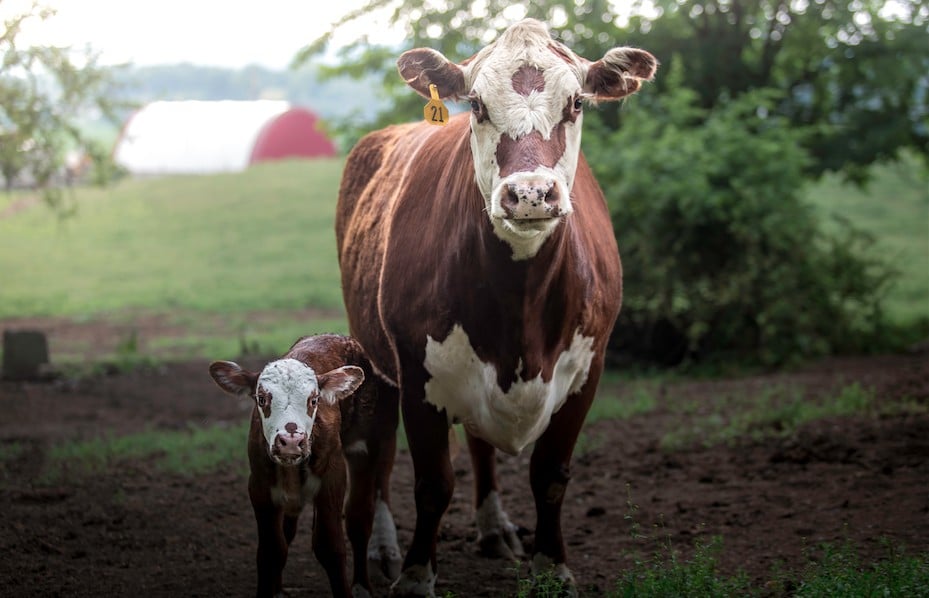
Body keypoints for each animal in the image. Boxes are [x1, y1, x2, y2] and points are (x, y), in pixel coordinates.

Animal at [207, 338, 396, 598]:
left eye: (314, 400)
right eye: (262, 398)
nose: (290, 441)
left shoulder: (332, 479)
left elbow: (330, 546)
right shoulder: (259, 486)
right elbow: (271, 550)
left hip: (366, 446)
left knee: (359, 519)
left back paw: (361, 586)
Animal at [338, 18, 656, 598]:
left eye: (577, 101)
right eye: (478, 105)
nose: (530, 194)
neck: (519, 303)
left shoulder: (588, 369)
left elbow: (550, 474)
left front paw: (552, 566)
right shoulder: (416, 371)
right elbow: (432, 482)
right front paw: (416, 575)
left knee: (480, 445)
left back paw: (494, 530)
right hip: (375, 359)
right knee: (379, 457)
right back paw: (383, 548)